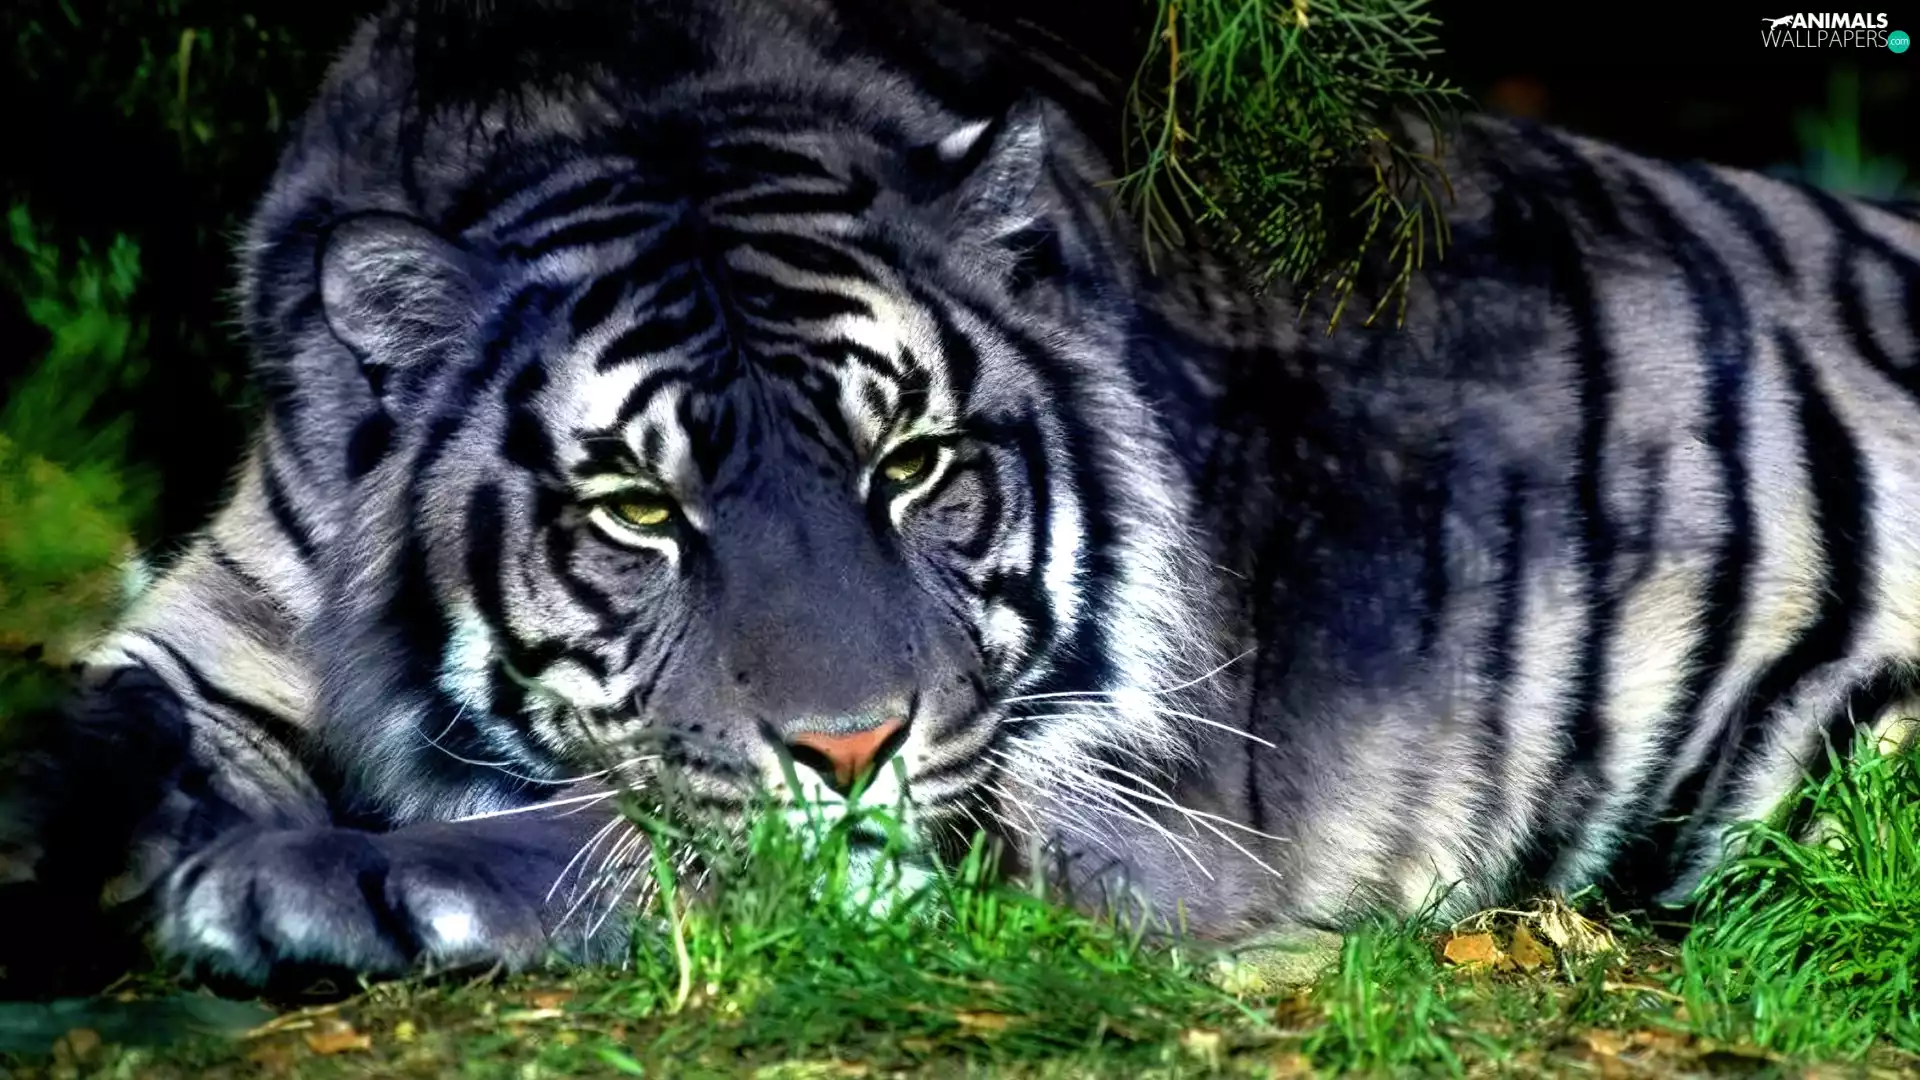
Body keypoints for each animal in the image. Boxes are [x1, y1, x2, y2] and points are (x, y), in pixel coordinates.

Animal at [3, 0, 1919, 992]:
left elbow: (654, 834)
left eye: (911, 466)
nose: (849, 744)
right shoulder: (213, 632)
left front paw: (300, 884)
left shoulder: (1098, 804)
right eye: (637, 509)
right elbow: (90, 734)